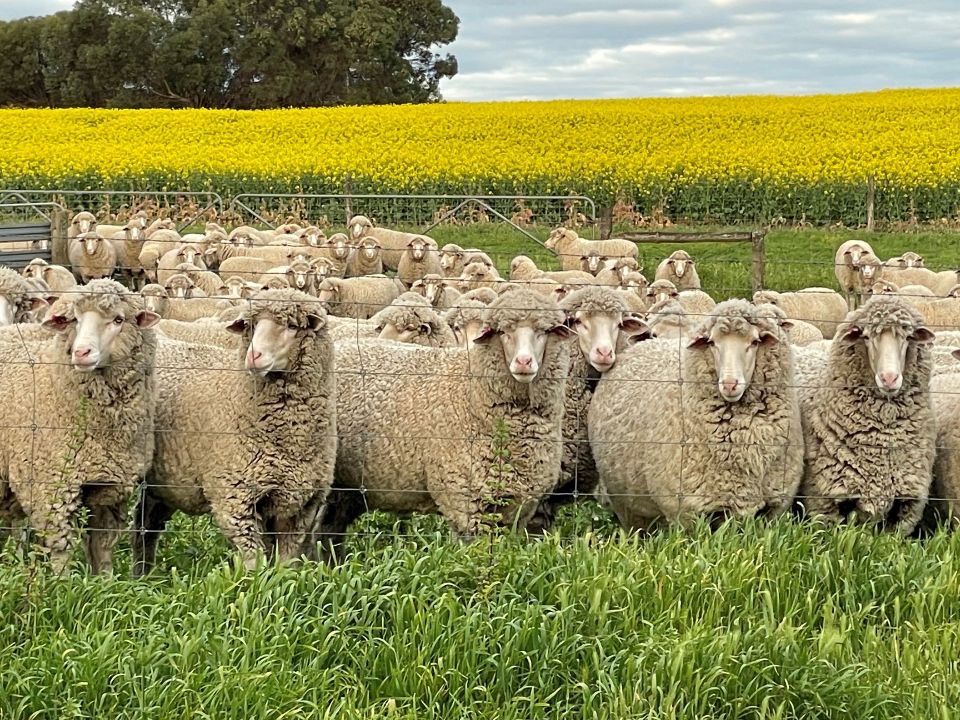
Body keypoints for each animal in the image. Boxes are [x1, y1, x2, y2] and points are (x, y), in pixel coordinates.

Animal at [0, 280, 159, 573]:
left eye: (118, 319)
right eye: (73, 320)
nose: (81, 352)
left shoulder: (109, 490)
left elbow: (101, 549)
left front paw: (104, 582)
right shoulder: (51, 488)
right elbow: (61, 553)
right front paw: (61, 584)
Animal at [132, 289, 337, 573]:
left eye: (293, 327)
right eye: (251, 326)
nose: (254, 356)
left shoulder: (299, 507)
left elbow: (284, 565)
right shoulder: (235, 496)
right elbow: (255, 563)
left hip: (165, 481)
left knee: (146, 523)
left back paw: (143, 574)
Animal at [316, 288, 571, 556]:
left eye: (543, 331)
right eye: (503, 332)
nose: (523, 362)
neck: (472, 393)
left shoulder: (518, 507)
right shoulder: (466, 503)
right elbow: (475, 558)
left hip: (349, 486)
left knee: (330, 528)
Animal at [589, 299, 803, 531]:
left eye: (755, 342)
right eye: (712, 343)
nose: (730, 384)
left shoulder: (775, 509)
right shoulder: (684, 512)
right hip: (626, 504)